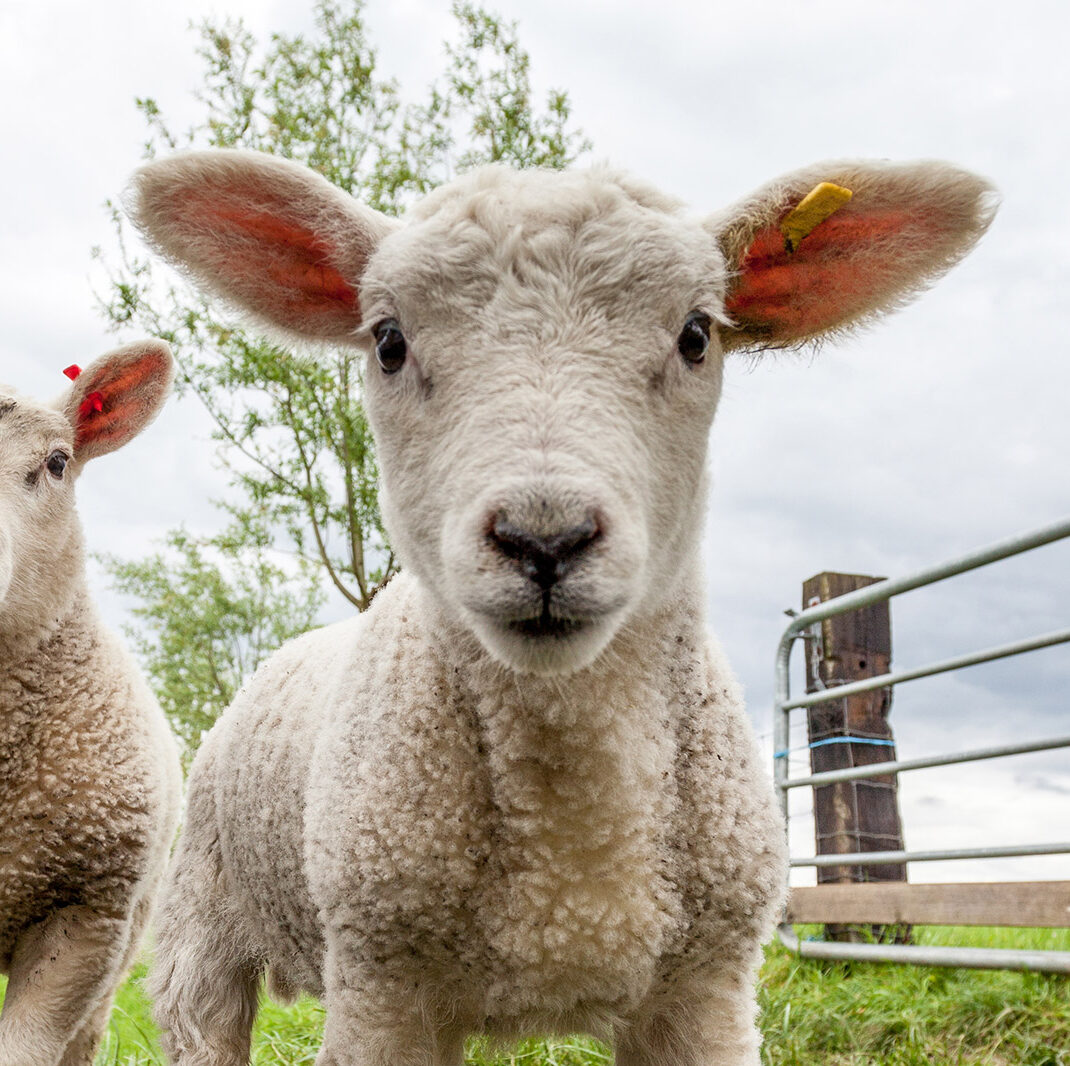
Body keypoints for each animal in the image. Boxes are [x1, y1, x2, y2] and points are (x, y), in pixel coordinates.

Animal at [129, 151, 997, 1066]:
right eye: (390, 342)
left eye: (696, 335)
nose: (544, 539)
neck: (574, 844)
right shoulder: (381, 985)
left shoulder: (708, 989)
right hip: (199, 926)